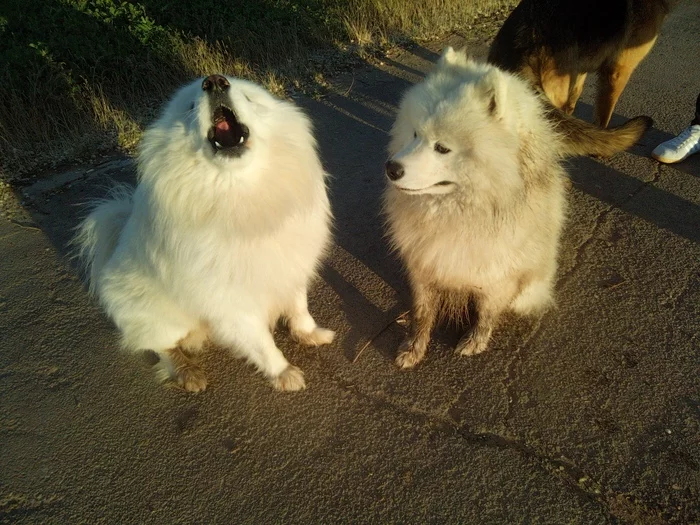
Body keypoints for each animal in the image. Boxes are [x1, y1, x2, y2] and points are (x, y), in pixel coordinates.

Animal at [74, 74, 334, 392]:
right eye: (190, 106)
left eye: (248, 97)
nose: (214, 81)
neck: (242, 198)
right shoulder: (231, 300)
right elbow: (262, 343)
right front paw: (283, 373)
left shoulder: (292, 268)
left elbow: (299, 308)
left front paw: (310, 333)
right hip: (166, 319)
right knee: (160, 346)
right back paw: (188, 372)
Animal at [382, 49, 568, 368]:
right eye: (415, 134)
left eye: (442, 148)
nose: (391, 168)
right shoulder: (423, 266)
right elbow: (422, 312)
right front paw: (414, 347)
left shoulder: (497, 279)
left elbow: (486, 314)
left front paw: (475, 341)